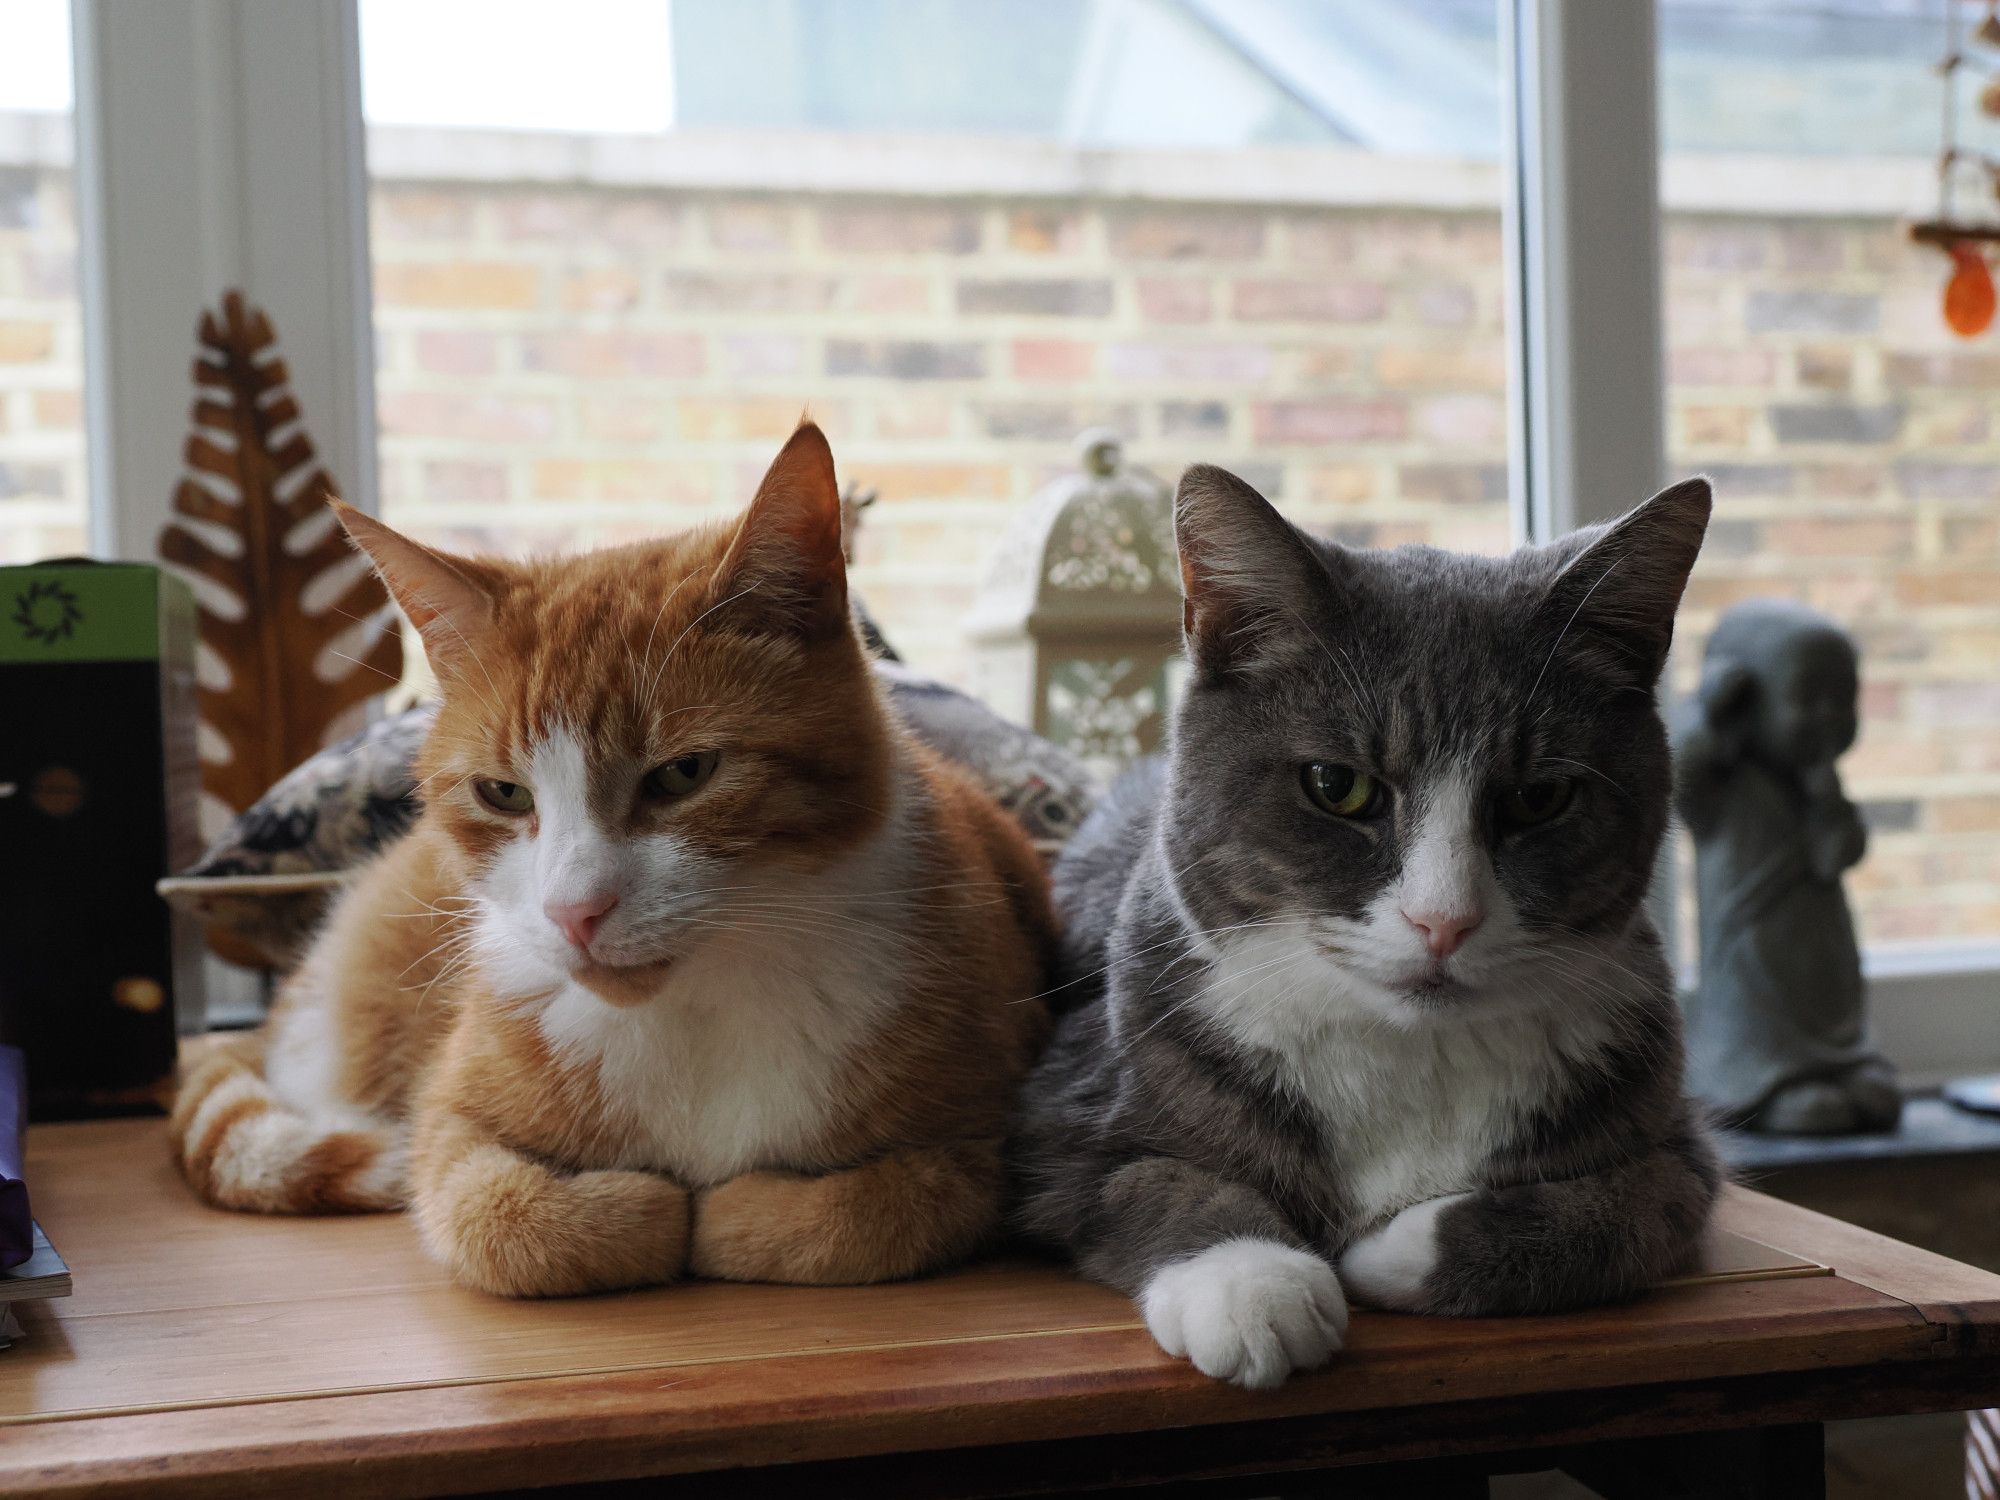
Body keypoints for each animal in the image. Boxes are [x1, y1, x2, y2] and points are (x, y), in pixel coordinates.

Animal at [172, 426, 1056, 1304]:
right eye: (503, 793)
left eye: (685, 773)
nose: (574, 912)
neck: (697, 1012)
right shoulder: (448, 1125)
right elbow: (497, 1217)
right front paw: (642, 1212)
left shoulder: (983, 1140)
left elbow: (871, 1212)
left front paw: (733, 1216)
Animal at [1008, 464, 1728, 1392]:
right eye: (1336, 786)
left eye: (1539, 798)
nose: (1443, 920)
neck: (1413, 1055)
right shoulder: (1057, 1115)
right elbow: (1155, 1178)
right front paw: (1255, 1284)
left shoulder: (1680, 1142)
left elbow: (1626, 1210)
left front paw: (1387, 1251)